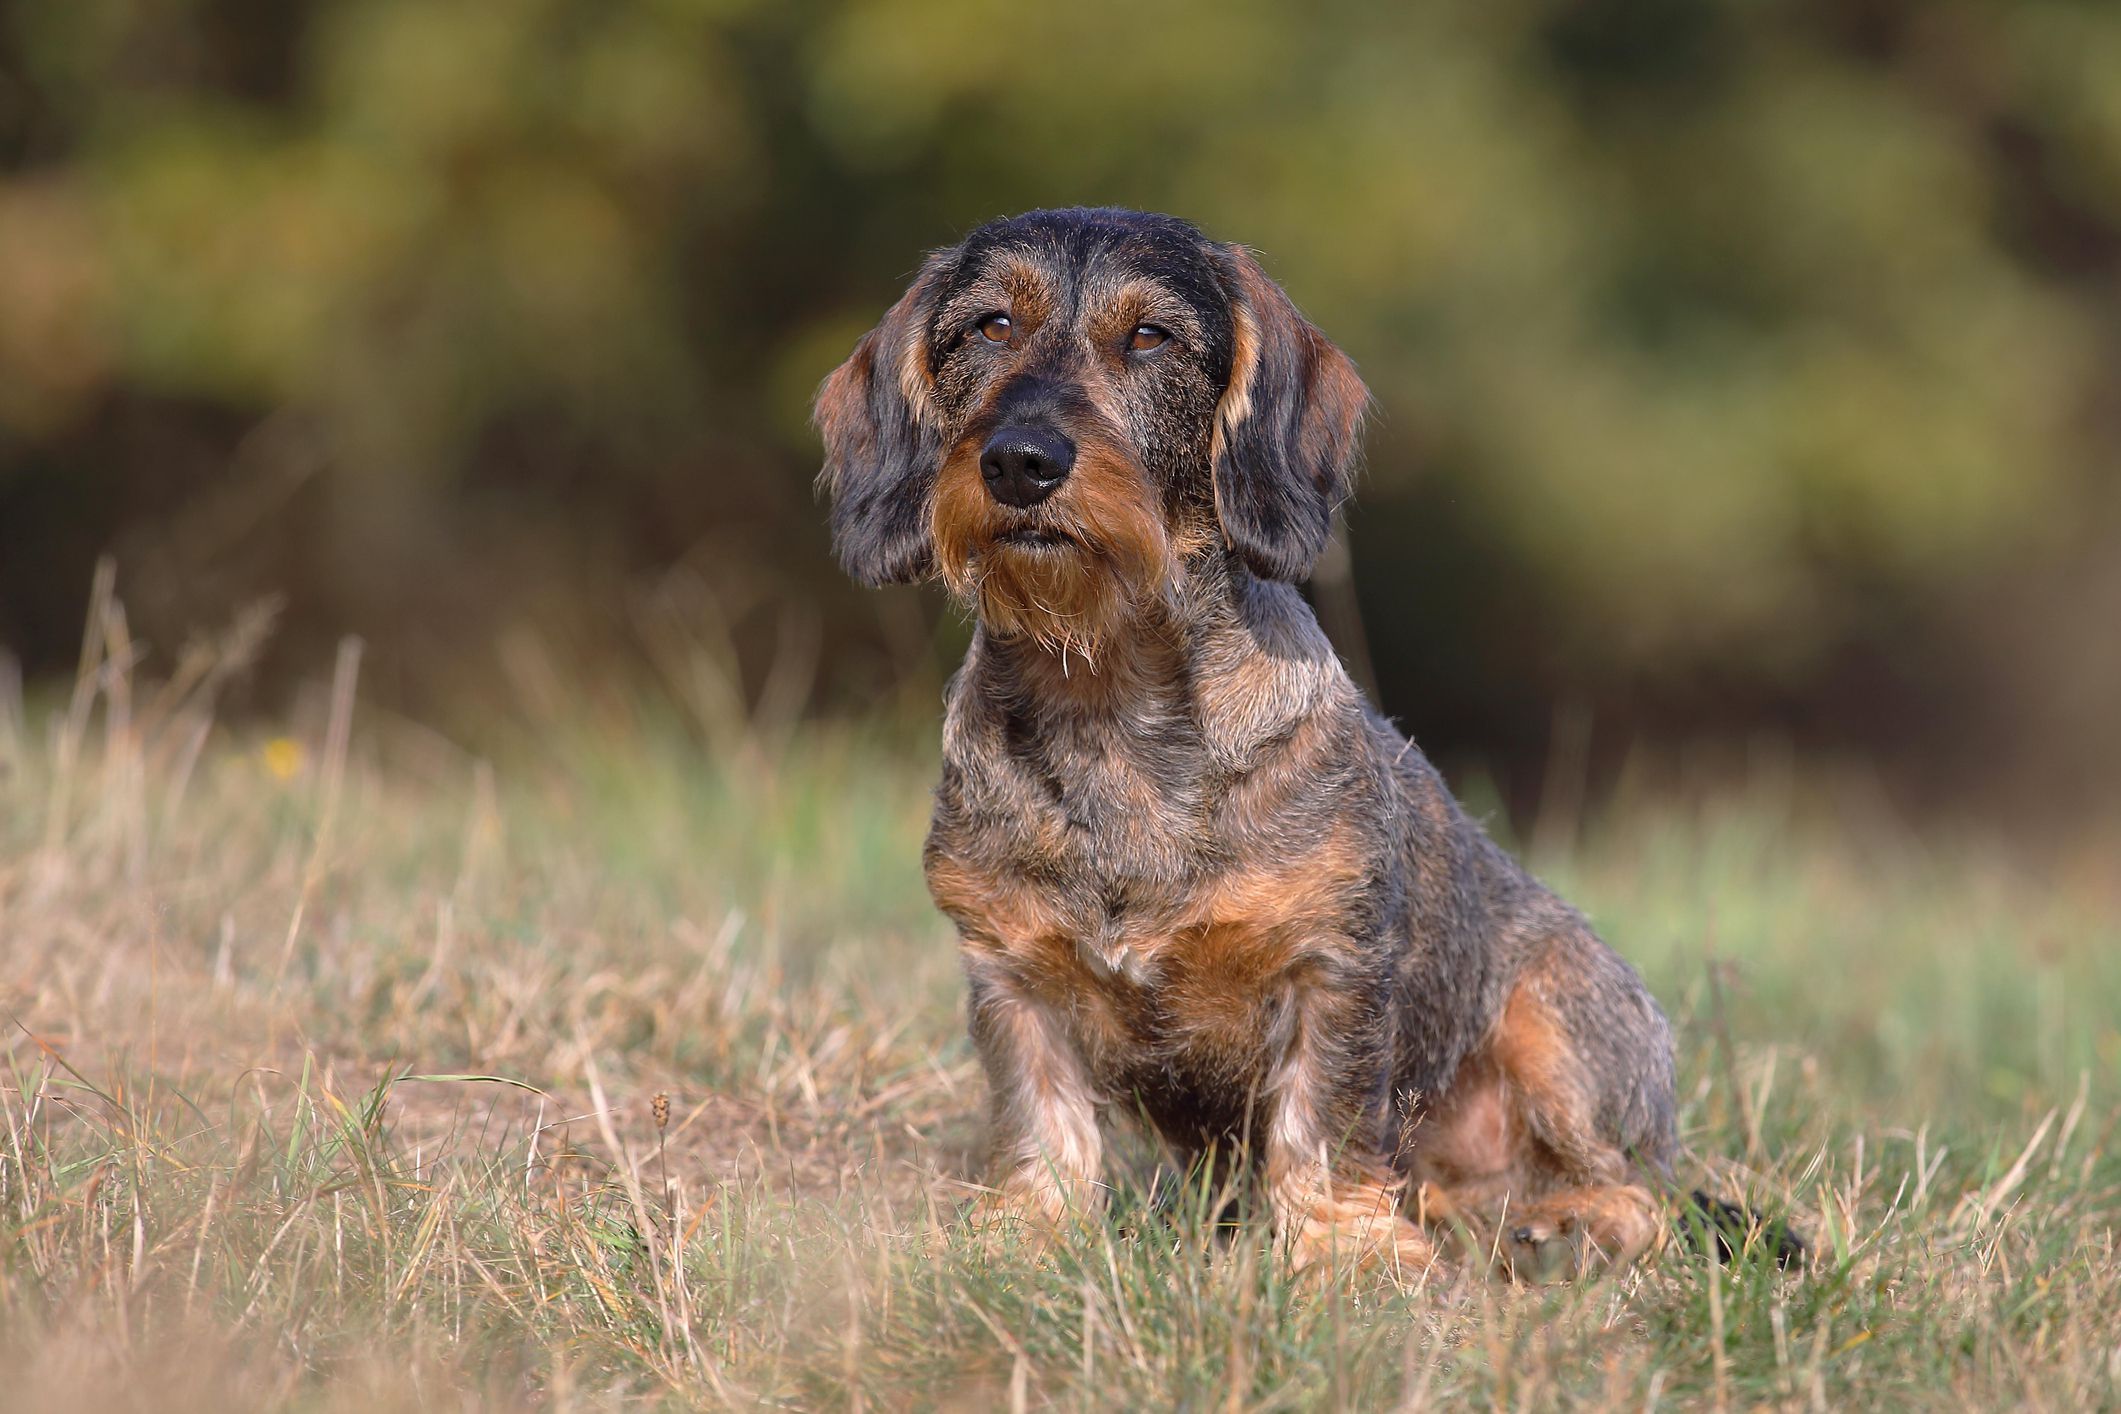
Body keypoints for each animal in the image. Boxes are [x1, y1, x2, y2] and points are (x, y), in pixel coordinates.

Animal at [810, 209, 1688, 1280]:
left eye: (1150, 337)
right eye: (988, 327)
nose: (1019, 460)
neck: (1109, 701)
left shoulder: (1332, 970)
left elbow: (1326, 1123)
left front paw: (1345, 1254)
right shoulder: (1009, 971)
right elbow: (1039, 1114)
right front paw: (1029, 1232)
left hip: (1557, 1020)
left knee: (1641, 1193)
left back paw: (1561, 1227)